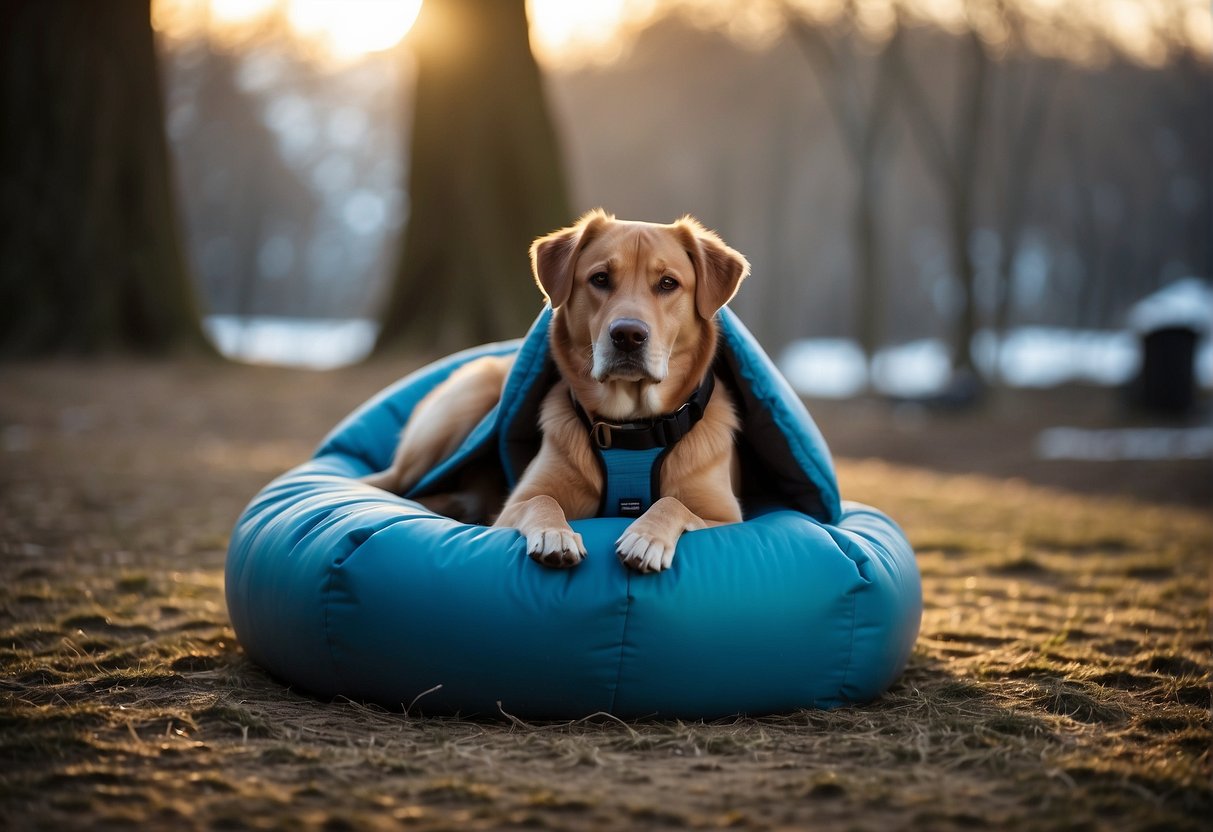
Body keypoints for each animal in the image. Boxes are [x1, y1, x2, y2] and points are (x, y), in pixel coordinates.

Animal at [363, 209, 747, 572]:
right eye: (600, 278)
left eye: (668, 283)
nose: (627, 335)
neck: (631, 427)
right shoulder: (511, 508)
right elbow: (541, 499)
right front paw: (555, 535)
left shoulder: (727, 518)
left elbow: (674, 503)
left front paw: (646, 536)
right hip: (463, 405)